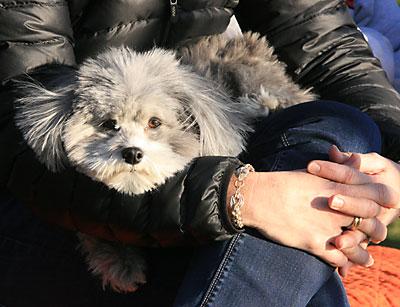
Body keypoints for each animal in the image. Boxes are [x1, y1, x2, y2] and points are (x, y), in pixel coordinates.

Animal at [14, 31, 316, 294]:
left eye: (154, 122)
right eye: (109, 124)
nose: (132, 153)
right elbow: (91, 225)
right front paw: (120, 262)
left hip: (252, 74)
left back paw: (266, 104)